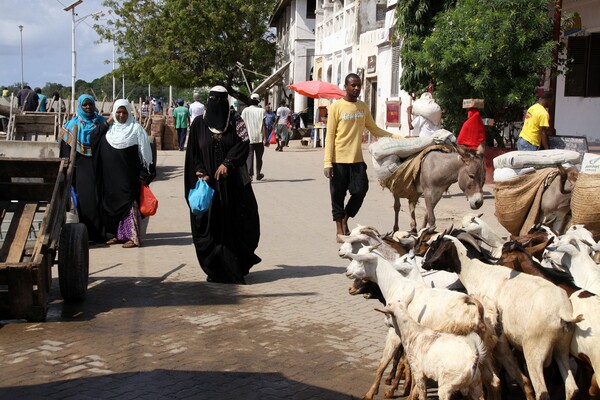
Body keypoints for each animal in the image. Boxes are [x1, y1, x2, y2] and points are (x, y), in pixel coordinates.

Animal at [424, 234, 584, 400]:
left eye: (435, 246)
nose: (424, 263)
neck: (477, 273)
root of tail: (562, 312)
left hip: (534, 350)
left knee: (542, 391)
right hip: (562, 349)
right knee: (571, 388)